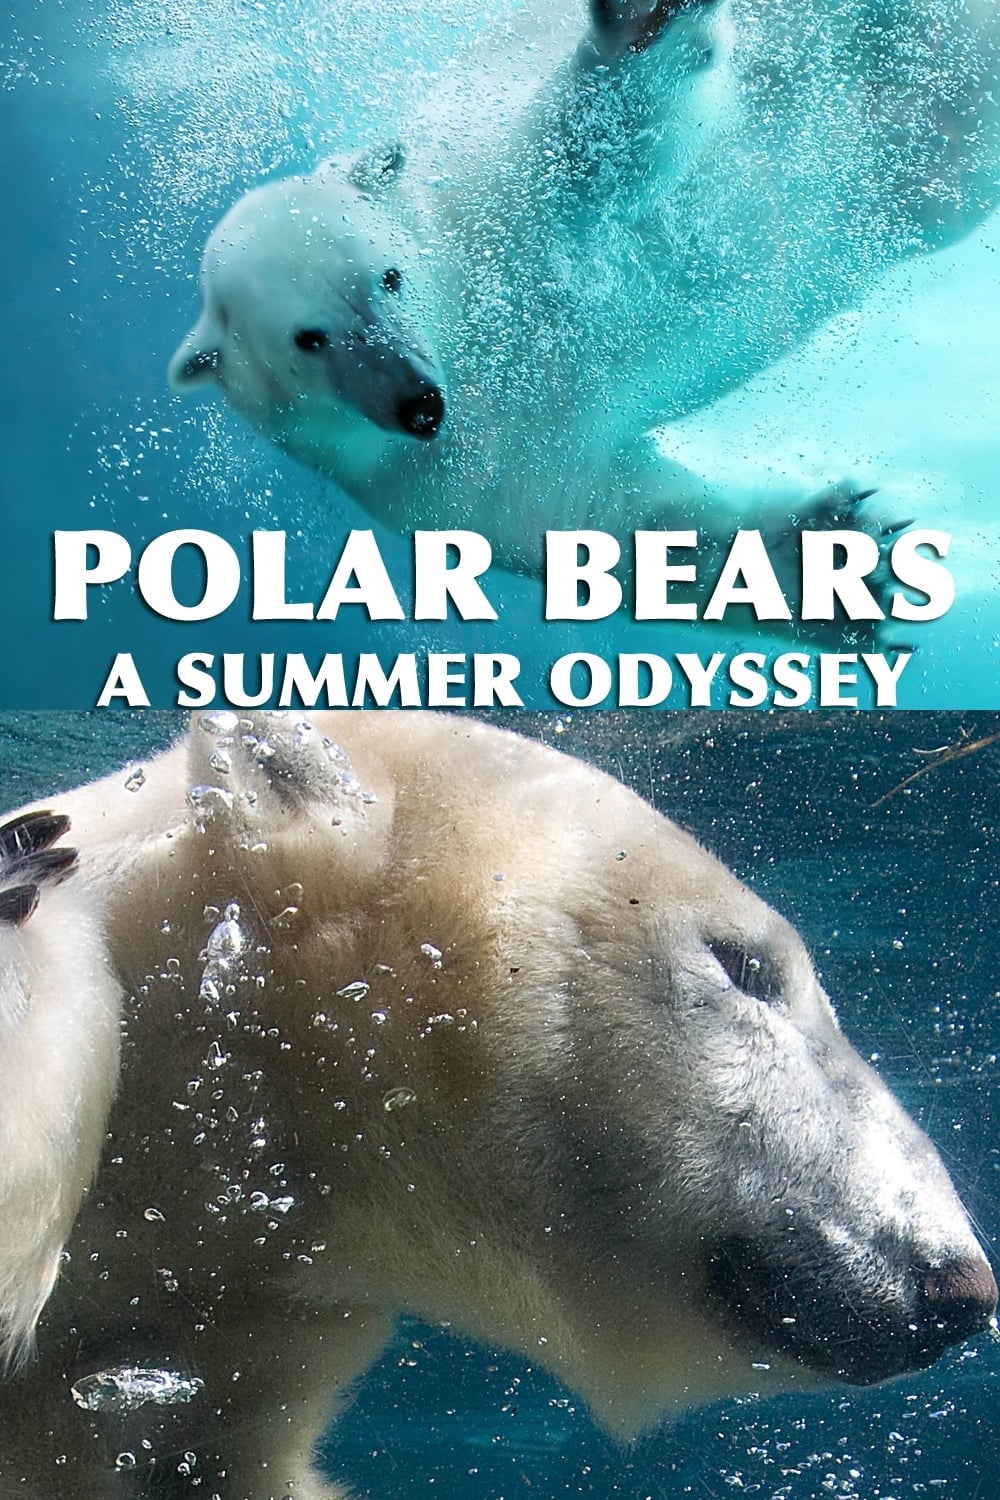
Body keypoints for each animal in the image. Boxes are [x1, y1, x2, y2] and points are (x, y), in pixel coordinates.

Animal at [166, 0, 1000, 594]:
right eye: (308, 340)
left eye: (388, 277)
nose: (420, 404)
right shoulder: (446, 484)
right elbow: (610, 525)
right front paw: (835, 557)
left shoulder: (500, 205)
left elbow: (604, 140)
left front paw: (639, 21)